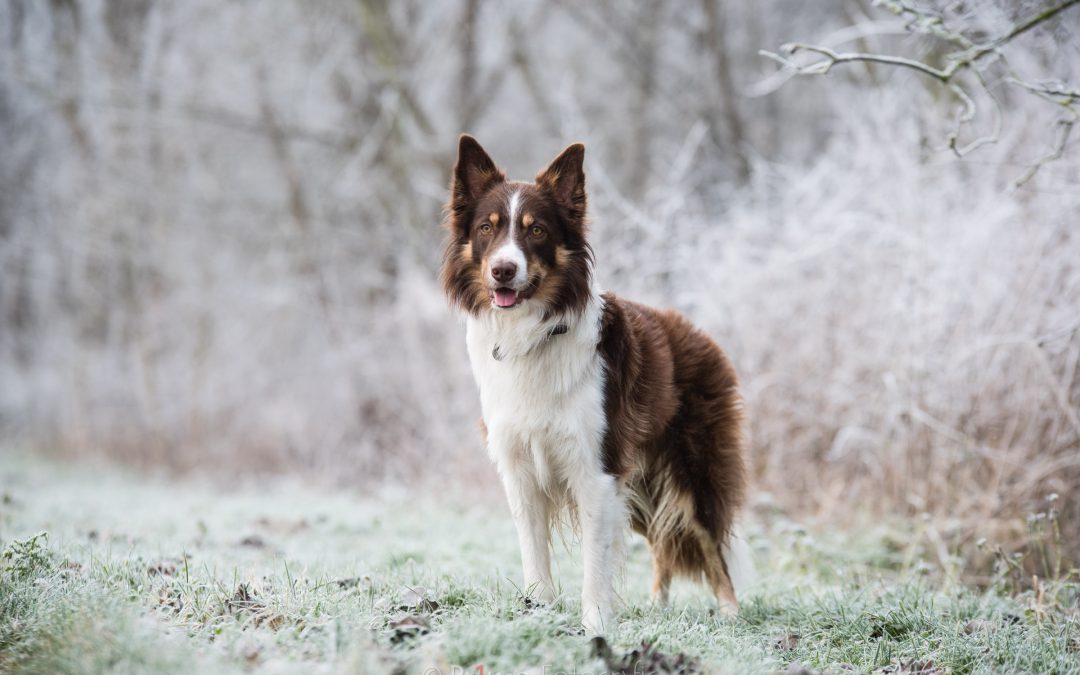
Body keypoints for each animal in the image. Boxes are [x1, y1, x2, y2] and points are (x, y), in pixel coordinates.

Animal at [438, 134, 751, 635]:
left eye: (537, 231)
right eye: (487, 228)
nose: (503, 270)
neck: (534, 335)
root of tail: (698, 333)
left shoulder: (597, 470)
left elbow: (594, 565)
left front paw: (597, 628)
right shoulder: (520, 469)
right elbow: (535, 556)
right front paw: (539, 614)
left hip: (692, 472)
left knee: (711, 544)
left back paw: (730, 614)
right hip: (642, 486)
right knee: (662, 542)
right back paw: (657, 606)